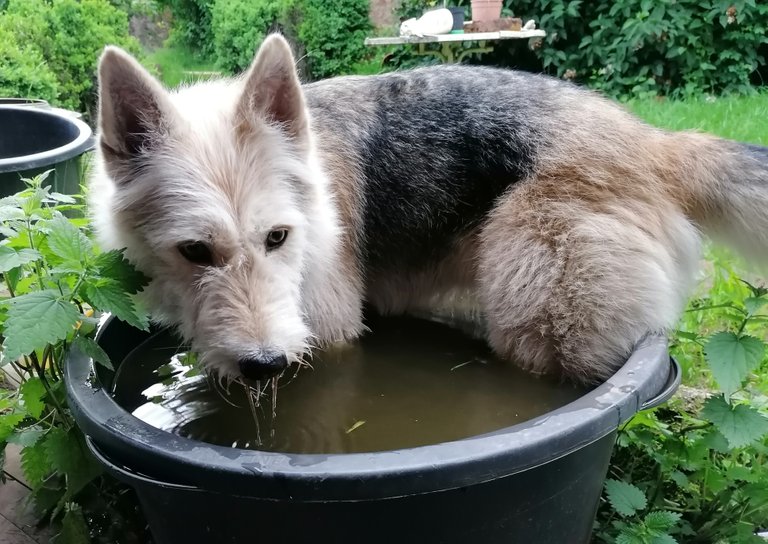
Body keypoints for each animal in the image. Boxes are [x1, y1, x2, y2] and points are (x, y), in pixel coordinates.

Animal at [91, 34, 768, 384]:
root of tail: (655, 142)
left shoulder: (332, 334)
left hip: (542, 330)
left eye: (277, 238)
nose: (264, 366)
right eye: (194, 252)